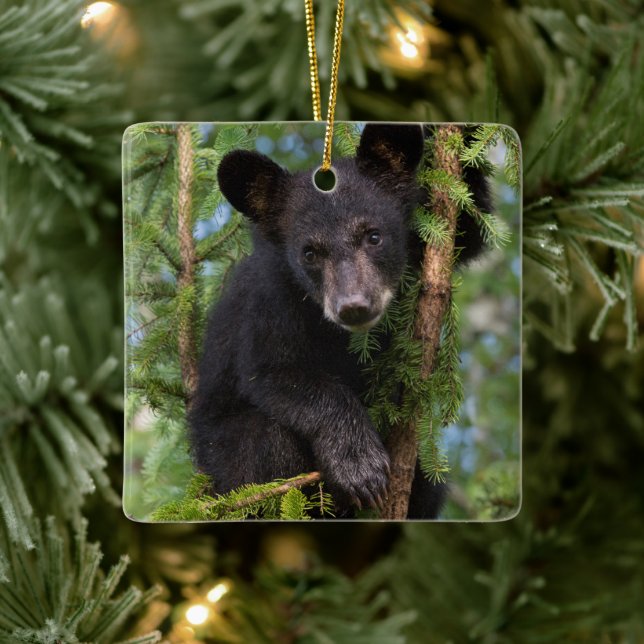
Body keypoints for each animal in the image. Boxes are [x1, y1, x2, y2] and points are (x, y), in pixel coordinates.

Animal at [188, 124, 489, 518]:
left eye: (374, 235)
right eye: (309, 252)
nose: (354, 306)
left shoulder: (423, 240)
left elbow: (468, 226)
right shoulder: (270, 301)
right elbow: (274, 372)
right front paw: (359, 466)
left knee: (429, 488)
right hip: (220, 457)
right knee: (263, 447)